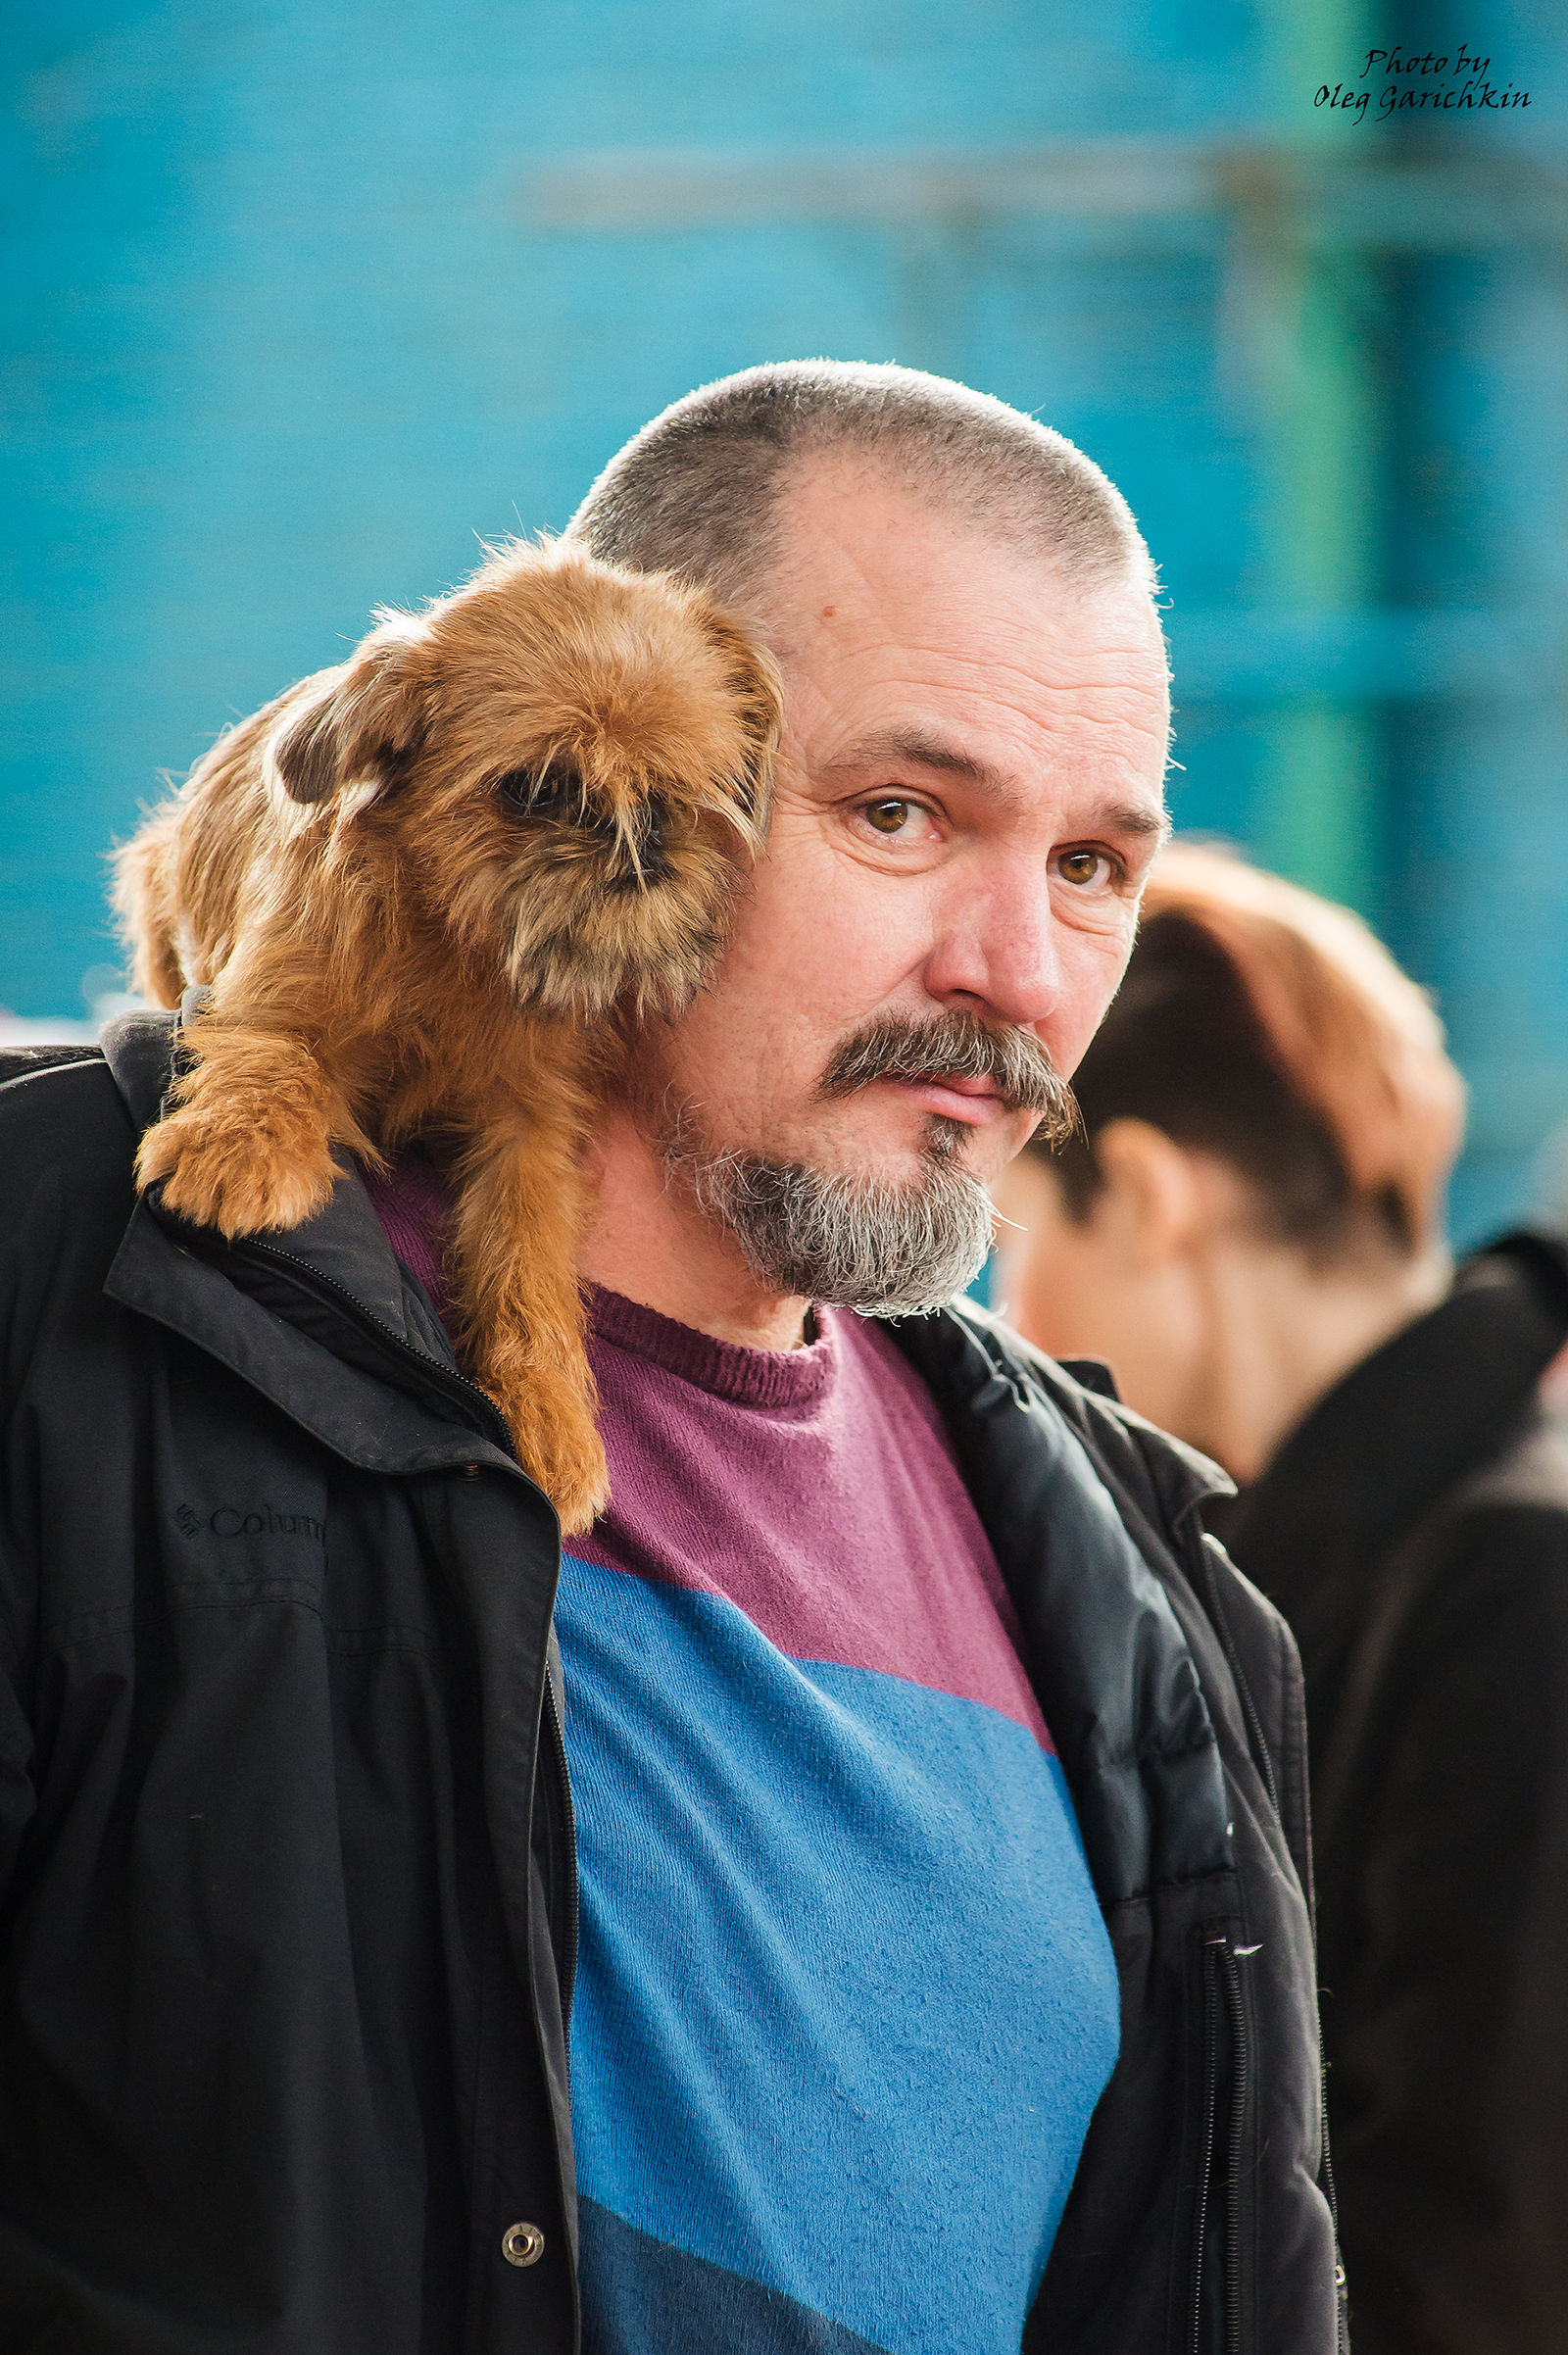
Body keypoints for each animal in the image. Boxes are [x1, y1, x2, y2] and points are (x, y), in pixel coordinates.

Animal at [113, 534, 781, 1526]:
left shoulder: (528, 1130)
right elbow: (276, 1063)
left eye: (684, 787)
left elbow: (528, 1262)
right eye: (538, 787)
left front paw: (548, 1419)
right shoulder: (264, 1001)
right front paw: (235, 1153)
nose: (644, 841)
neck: (459, 947)